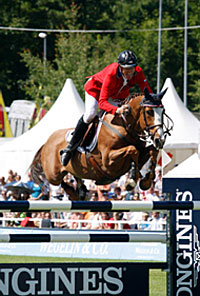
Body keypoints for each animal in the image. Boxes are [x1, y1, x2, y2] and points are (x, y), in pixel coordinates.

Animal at [29, 86, 172, 200]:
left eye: (163, 111)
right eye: (149, 111)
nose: (160, 139)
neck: (124, 125)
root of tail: (46, 143)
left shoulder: (142, 151)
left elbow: (152, 151)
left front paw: (146, 180)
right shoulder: (108, 160)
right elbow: (132, 149)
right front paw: (131, 179)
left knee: (75, 175)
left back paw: (81, 191)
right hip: (53, 174)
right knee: (57, 181)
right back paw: (73, 189)